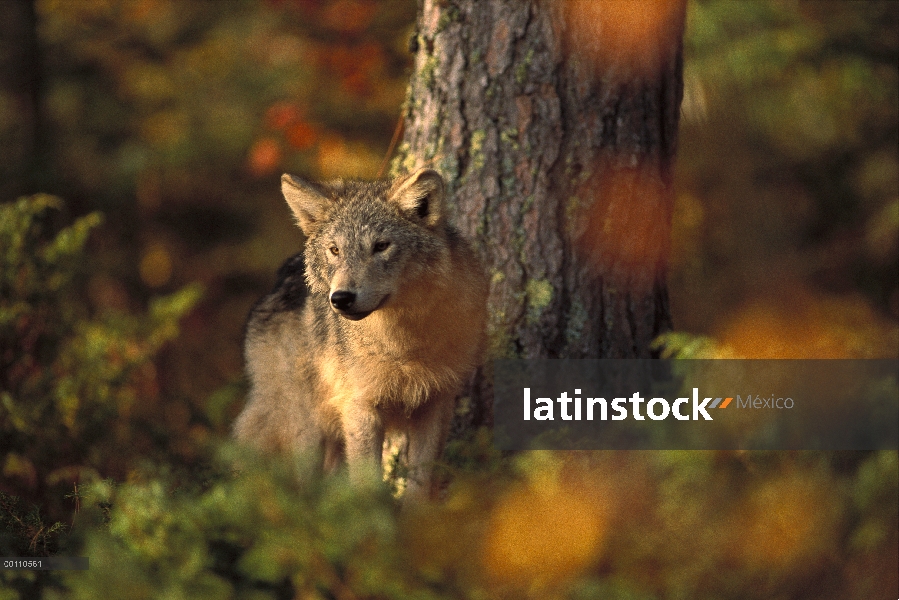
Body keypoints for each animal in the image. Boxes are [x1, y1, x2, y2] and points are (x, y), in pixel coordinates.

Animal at [232, 166, 486, 500]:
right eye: (335, 250)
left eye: (380, 246)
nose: (341, 298)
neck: (402, 345)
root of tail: (277, 283)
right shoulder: (360, 408)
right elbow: (368, 484)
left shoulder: (435, 405)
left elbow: (419, 482)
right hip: (307, 427)